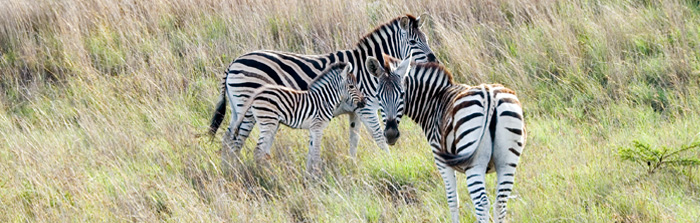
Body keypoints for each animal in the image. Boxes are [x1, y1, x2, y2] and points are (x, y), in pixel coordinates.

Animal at [230, 61, 364, 173]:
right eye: (352, 87)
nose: (364, 102)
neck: (324, 99)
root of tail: (258, 93)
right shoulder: (318, 127)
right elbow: (316, 154)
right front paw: (317, 176)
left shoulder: (313, 129)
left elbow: (310, 154)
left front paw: (308, 176)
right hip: (268, 122)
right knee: (258, 151)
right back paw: (263, 175)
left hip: (270, 123)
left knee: (262, 151)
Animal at [372, 56, 524, 222]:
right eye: (378, 97)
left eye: (402, 94)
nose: (391, 134)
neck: (434, 101)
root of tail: (489, 94)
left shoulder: (441, 160)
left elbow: (452, 200)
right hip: (508, 162)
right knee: (500, 203)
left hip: (474, 163)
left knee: (482, 203)